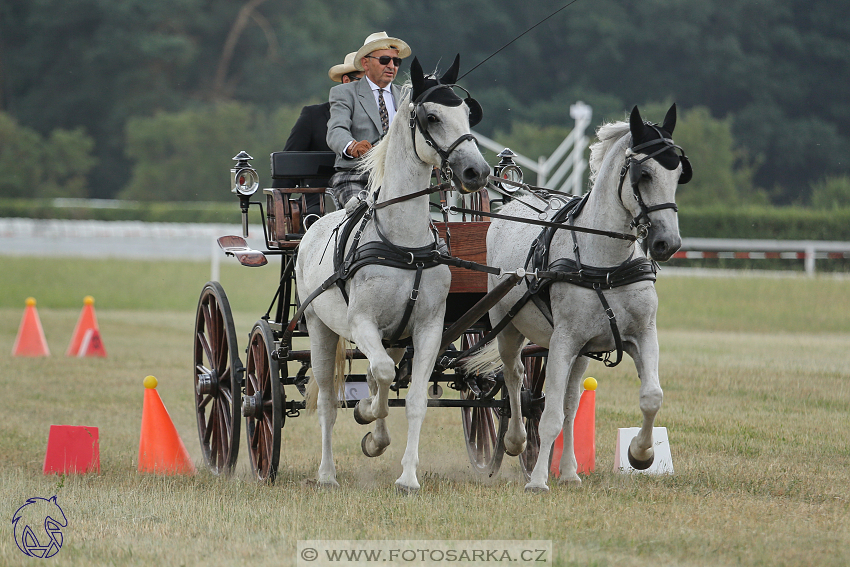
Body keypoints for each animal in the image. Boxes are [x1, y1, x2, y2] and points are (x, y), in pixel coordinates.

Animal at [294, 56, 486, 492]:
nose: (476, 172)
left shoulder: (427, 328)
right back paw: (327, 473)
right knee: (328, 400)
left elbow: (412, 396)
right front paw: (367, 414)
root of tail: (313, 226)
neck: (404, 245)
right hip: (319, 327)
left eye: (468, 115)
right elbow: (380, 373)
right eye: (432, 117)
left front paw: (407, 474)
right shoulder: (361, 322)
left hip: (395, 336)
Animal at [470, 104, 688, 490]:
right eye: (644, 174)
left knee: (570, 402)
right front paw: (538, 481)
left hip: (584, 352)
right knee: (514, 376)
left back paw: (570, 472)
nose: (668, 243)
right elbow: (550, 414)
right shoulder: (563, 341)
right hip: (508, 329)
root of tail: (517, 200)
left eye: (677, 173)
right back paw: (515, 440)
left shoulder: (641, 335)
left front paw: (641, 453)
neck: (605, 264)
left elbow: (651, 397)